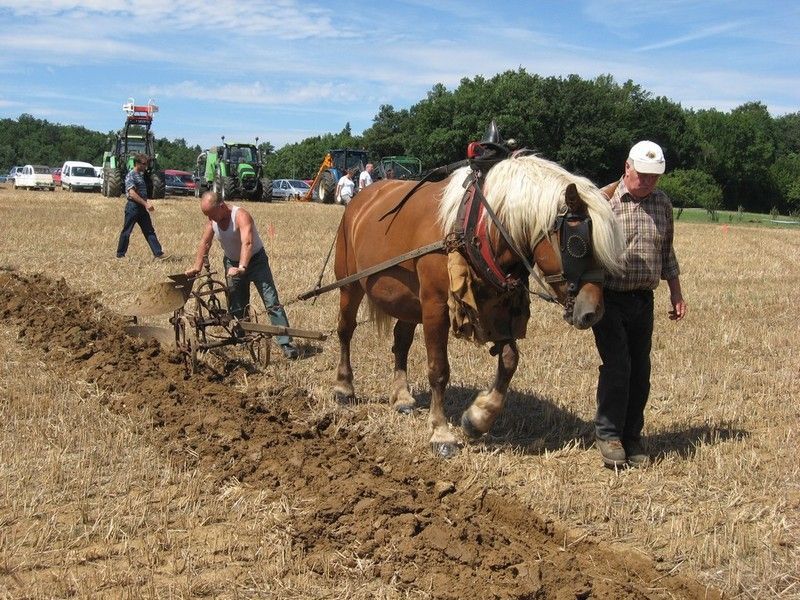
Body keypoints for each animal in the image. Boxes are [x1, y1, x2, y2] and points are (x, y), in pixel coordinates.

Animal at [332, 152, 624, 458]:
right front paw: (441, 432)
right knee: (345, 330)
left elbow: (509, 360)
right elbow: (439, 370)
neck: (477, 225)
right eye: (577, 244)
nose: (593, 312)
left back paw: (401, 396)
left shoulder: (499, 307)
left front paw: (478, 418)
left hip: (408, 301)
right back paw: (343, 387)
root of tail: (361, 199)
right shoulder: (435, 307)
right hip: (349, 285)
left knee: (400, 341)